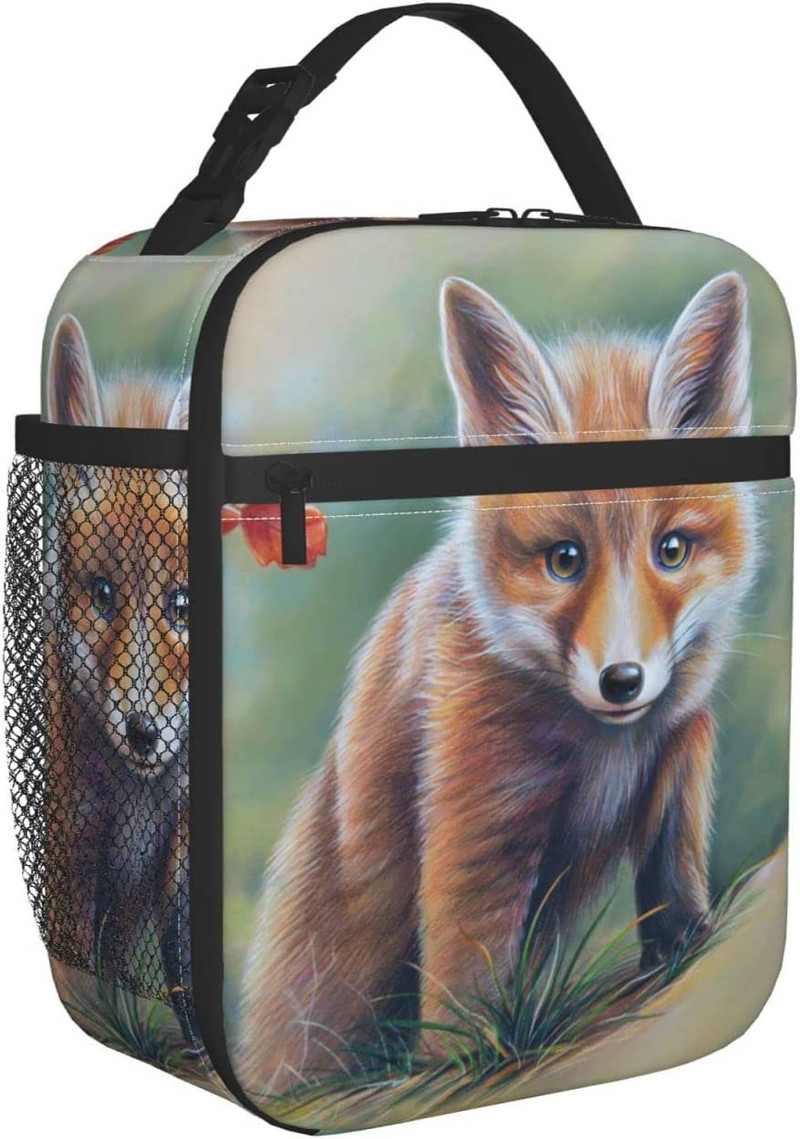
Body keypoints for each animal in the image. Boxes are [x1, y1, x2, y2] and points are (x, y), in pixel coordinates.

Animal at [238, 270, 758, 1095]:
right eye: (565, 560)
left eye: (671, 550)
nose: (622, 679)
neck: (599, 744)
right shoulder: (479, 807)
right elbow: (465, 971)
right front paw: (463, 1061)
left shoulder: (682, 725)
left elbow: (676, 824)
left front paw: (680, 932)